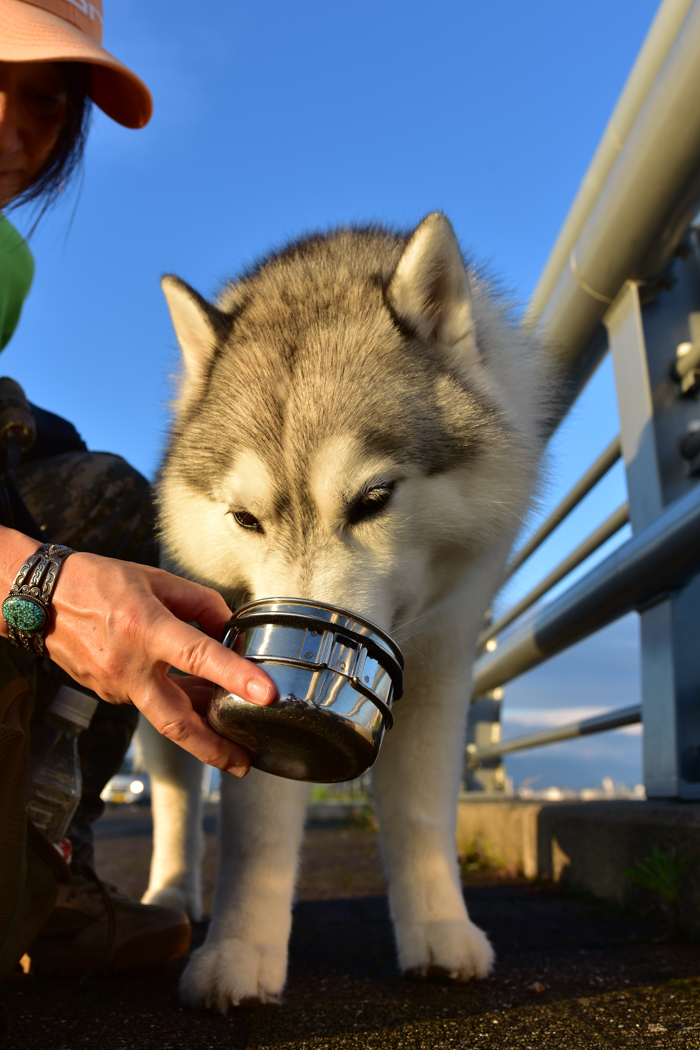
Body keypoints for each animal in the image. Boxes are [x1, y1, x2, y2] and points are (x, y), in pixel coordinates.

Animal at [138, 211, 554, 1007]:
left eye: (373, 500)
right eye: (245, 519)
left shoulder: (441, 664)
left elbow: (421, 811)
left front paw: (437, 927)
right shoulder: (249, 680)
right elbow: (255, 831)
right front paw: (240, 948)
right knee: (174, 798)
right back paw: (169, 898)